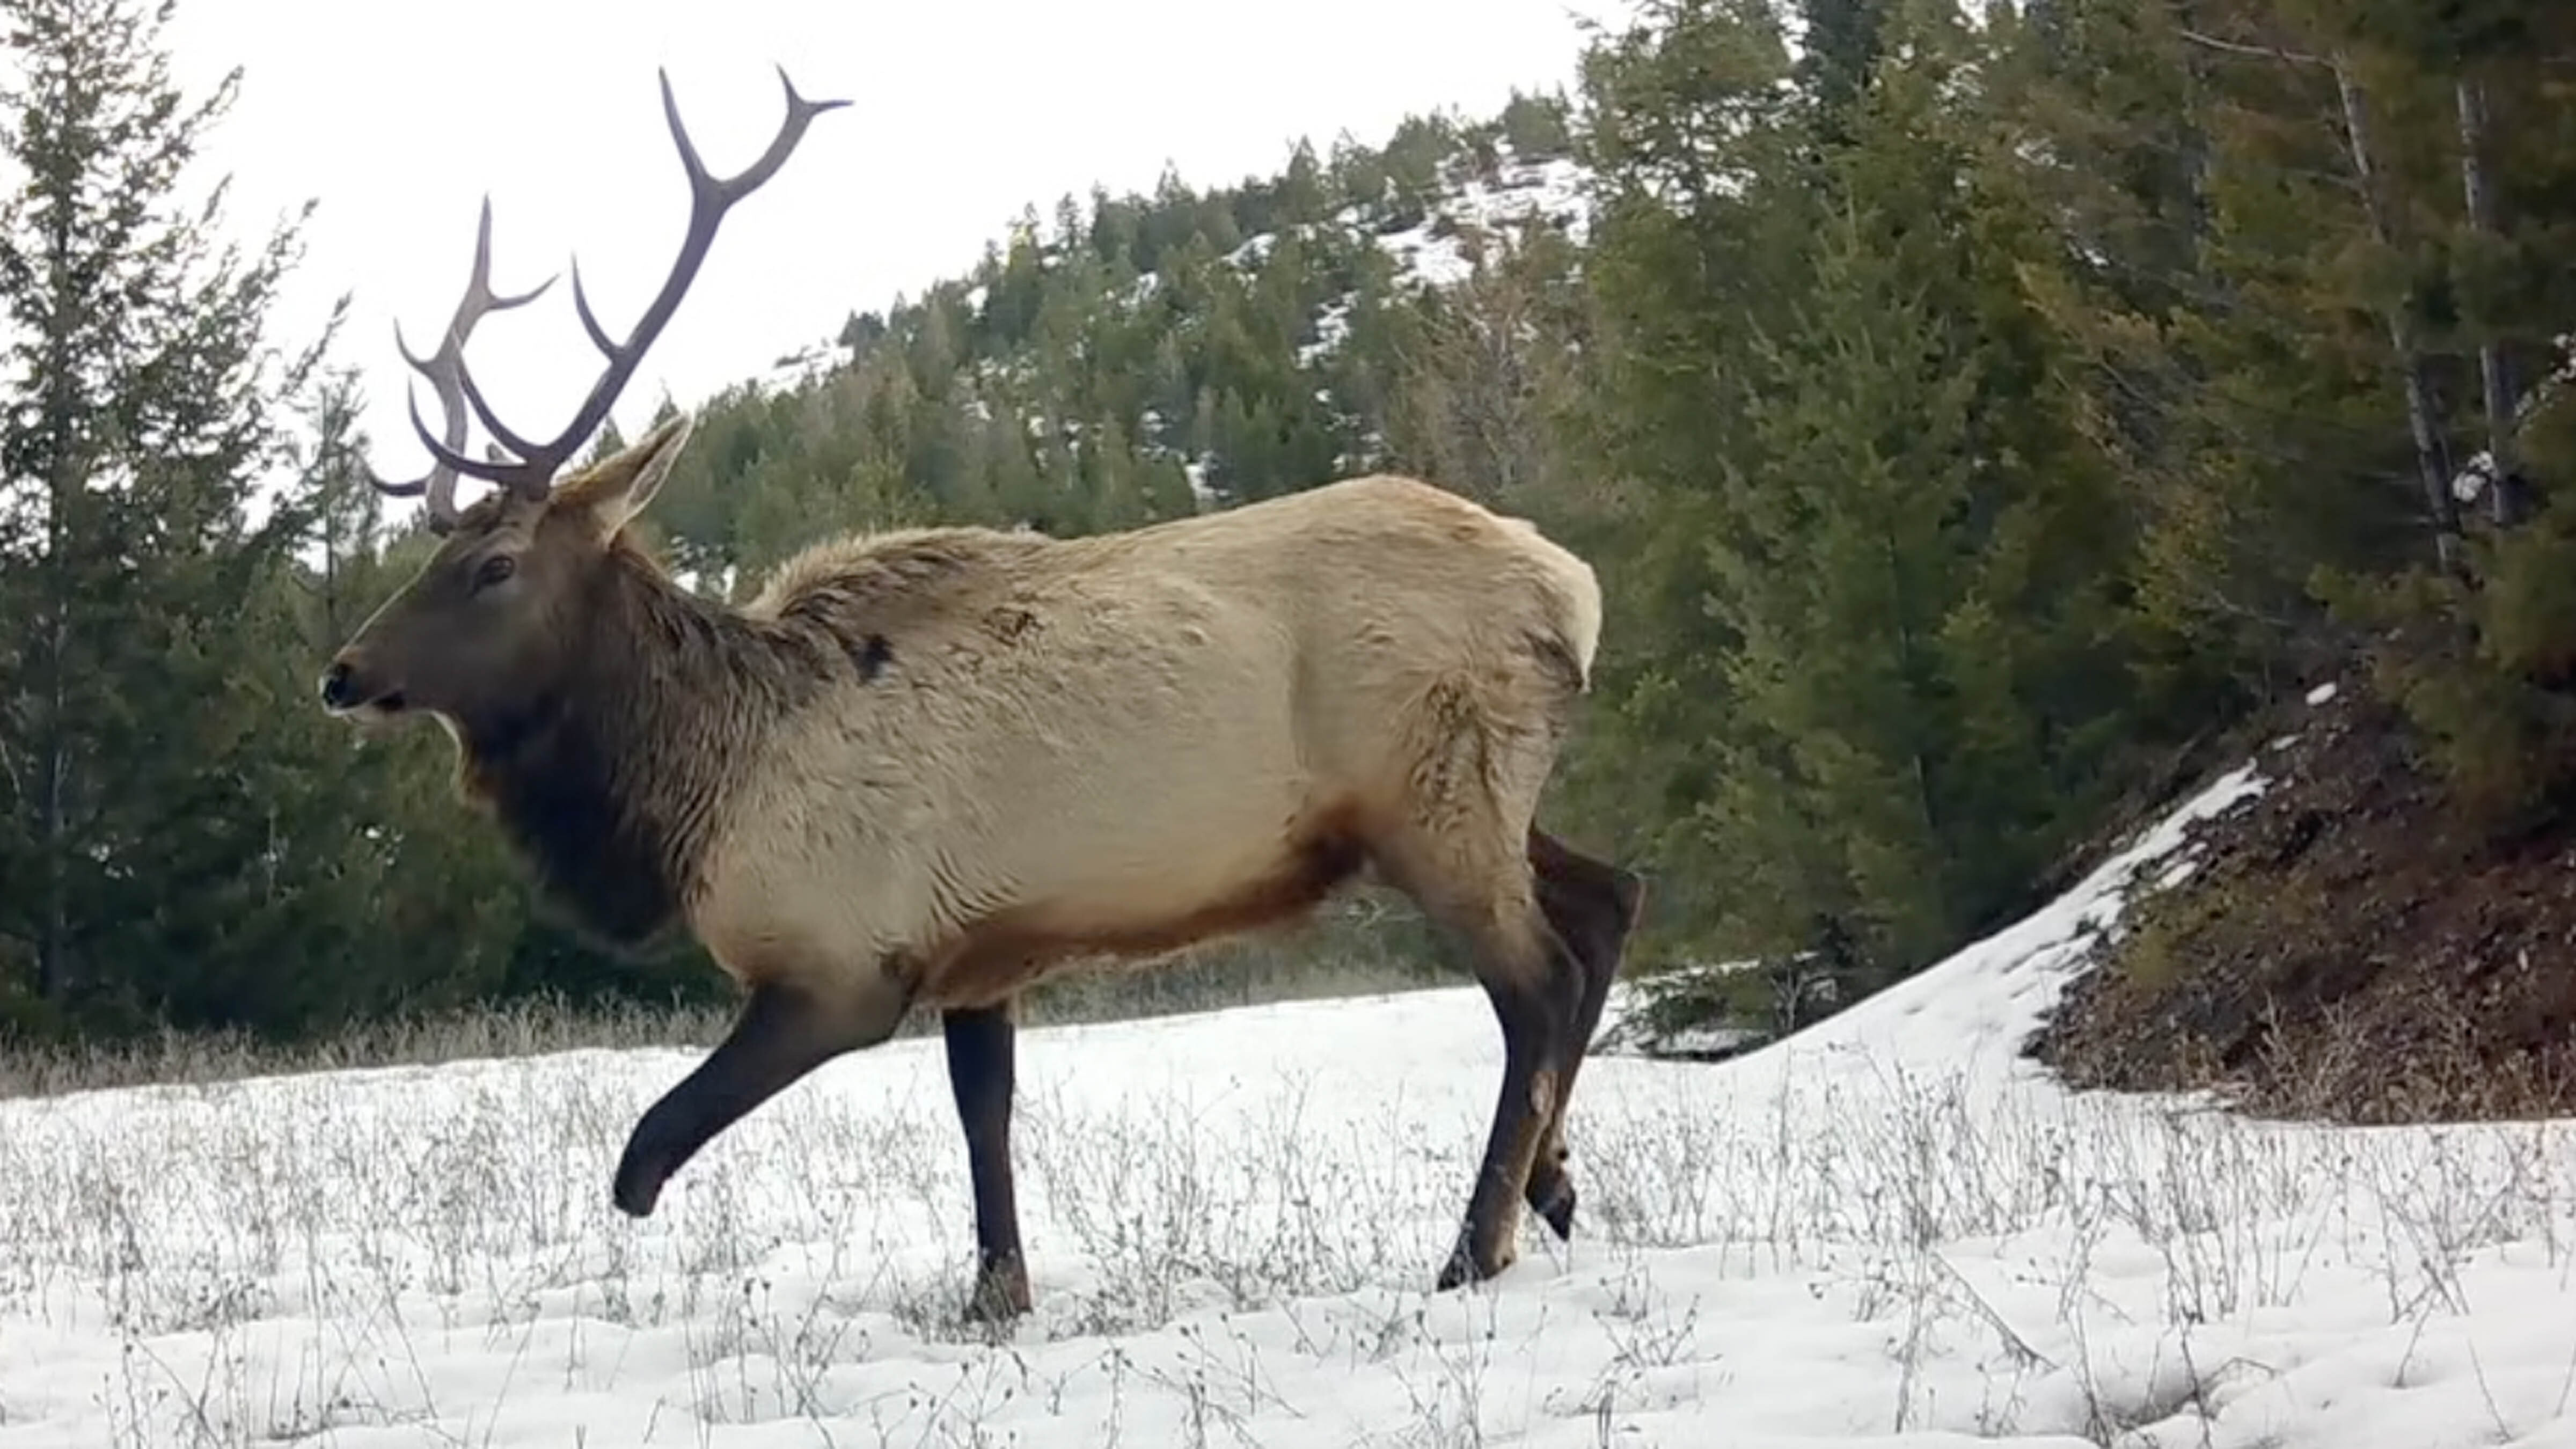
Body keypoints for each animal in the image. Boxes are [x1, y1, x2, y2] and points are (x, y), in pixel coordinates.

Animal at [318, 66, 1647, 1321]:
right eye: (429, 556)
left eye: (493, 566)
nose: (343, 675)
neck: (699, 790)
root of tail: (1573, 586)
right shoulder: (979, 955)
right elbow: (984, 1120)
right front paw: (996, 1295)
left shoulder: (843, 961)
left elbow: (642, 1155)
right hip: (1478, 795)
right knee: (1607, 901)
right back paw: (1555, 1187)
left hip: (1429, 795)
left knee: (1535, 981)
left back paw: (1475, 1249)